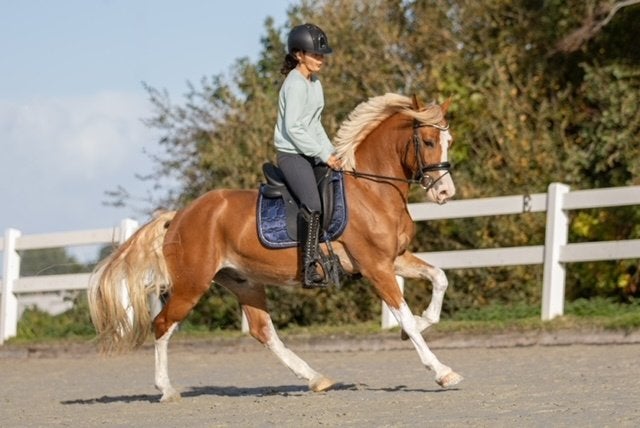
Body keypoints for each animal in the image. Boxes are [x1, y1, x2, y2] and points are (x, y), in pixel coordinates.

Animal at [88, 93, 462, 402]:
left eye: (448, 141)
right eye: (428, 141)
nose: (446, 193)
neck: (373, 190)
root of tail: (180, 215)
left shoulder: (393, 259)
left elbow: (439, 278)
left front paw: (419, 324)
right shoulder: (375, 266)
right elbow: (407, 317)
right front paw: (442, 371)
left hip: (244, 282)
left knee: (262, 331)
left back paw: (315, 378)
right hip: (192, 285)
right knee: (162, 324)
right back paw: (166, 390)